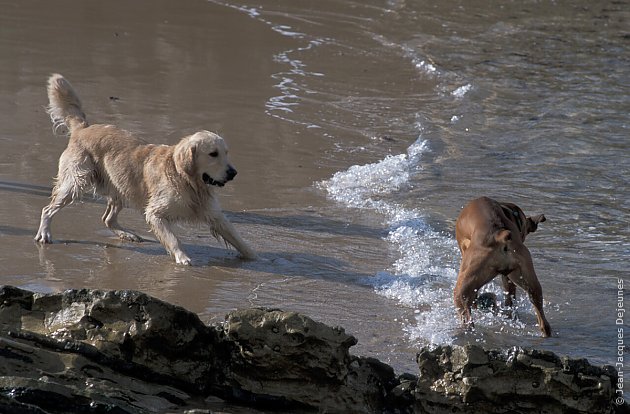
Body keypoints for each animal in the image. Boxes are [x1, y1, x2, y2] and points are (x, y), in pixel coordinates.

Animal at [34, 73, 256, 266]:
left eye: (226, 152)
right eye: (213, 154)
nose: (233, 173)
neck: (187, 180)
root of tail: (83, 128)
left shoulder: (214, 213)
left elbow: (237, 237)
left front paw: (254, 257)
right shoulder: (156, 213)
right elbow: (173, 238)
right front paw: (182, 257)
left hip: (122, 187)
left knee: (107, 219)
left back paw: (127, 235)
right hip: (76, 181)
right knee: (48, 209)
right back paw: (45, 234)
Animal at [454, 197, 552, 336]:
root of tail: (500, 235)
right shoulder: (508, 277)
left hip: (462, 289)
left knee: (466, 315)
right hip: (529, 281)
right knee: (540, 315)